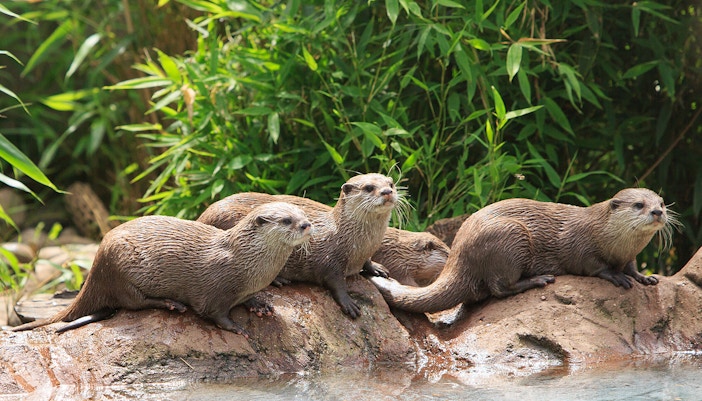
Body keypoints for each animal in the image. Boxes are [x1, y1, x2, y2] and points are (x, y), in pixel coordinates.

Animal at [11, 202, 312, 335]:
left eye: (302, 213)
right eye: (287, 220)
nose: (307, 224)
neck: (248, 265)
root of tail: (96, 266)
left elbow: (250, 298)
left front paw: (260, 304)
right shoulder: (216, 291)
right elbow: (214, 313)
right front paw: (237, 328)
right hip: (121, 270)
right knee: (132, 303)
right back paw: (170, 304)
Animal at [197, 173, 403, 318]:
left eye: (390, 184)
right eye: (369, 187)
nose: (387, 192)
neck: (356, 244)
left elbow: (367, 262)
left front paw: (376, 267)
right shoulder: (331, 261)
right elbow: (336, 282)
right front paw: (348, 303)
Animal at [370, 188, 677, 314]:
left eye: (662, 202)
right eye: (639, 205)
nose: (657, 211)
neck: (607, 237)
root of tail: (460, 254)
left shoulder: (630, 254)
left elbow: (633, 266)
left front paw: (644, 277)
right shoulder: (581, 245)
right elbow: (594, 266)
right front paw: (617, 277)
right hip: (510, 238)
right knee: (498, 288)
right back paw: (537, 280)